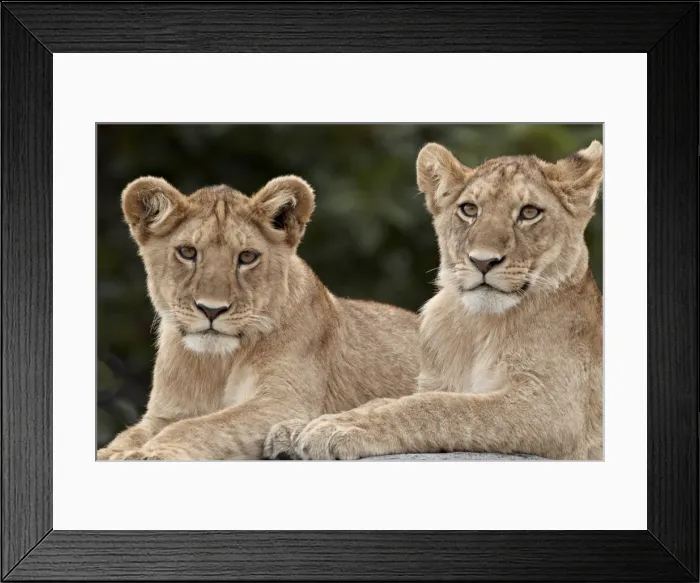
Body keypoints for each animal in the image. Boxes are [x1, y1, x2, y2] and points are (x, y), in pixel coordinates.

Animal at [97, 174, 419, 460]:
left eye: (247, 257)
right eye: (187, 252)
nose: (211, 309)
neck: (217, 364)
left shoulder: (282, 402)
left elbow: (199, 427)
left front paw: (149, 453)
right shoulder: (164, 413)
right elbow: (132, 434)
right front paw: (115, 452)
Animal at [268, 140, 604, 460]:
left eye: (530, 212)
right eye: (469, 209)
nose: (482, 262)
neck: (478, 325)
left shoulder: (554, 411)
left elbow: (440, 407)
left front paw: (338, 428)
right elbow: (391, 400)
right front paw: (297, 428)